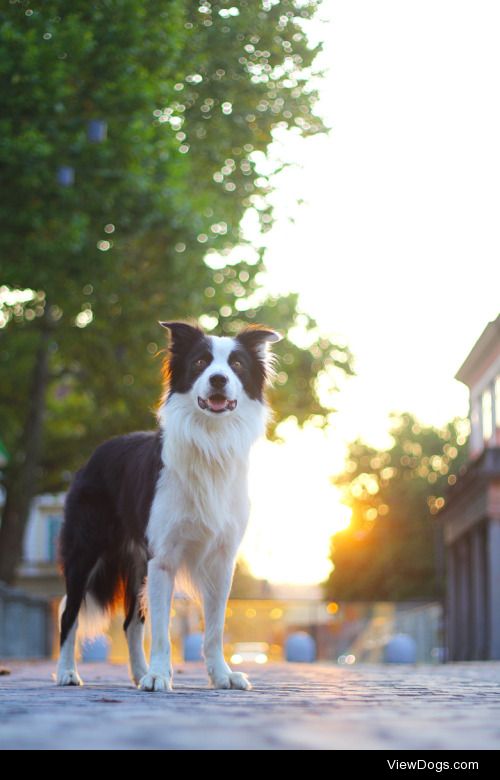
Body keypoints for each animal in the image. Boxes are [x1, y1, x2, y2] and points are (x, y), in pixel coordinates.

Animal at [56, 320, 282, 692]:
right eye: (201, 362)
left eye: (236, 365)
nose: (218, 379)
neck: (211, 440)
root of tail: (95, 454)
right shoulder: (163, 558)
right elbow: (161, 631)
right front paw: (160, 675)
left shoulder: (221, 560)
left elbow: (215, 628)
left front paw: (222, 675)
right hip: (86, 551)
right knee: (69, 612)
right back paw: (67, 673)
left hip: (136, 563)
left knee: (130, 623)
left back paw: (138, 673)